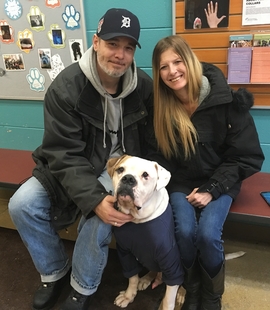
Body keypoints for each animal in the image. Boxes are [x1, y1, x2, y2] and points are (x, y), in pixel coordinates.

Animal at [106, 156, 184, 308]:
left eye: (145, 175)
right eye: (120, 169)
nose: (128, 178)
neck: (138, 219)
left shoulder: (171, 262)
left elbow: (168, 299)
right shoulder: (125, 253)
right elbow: (132, 278)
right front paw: (129, 296)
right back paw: (145, 279)